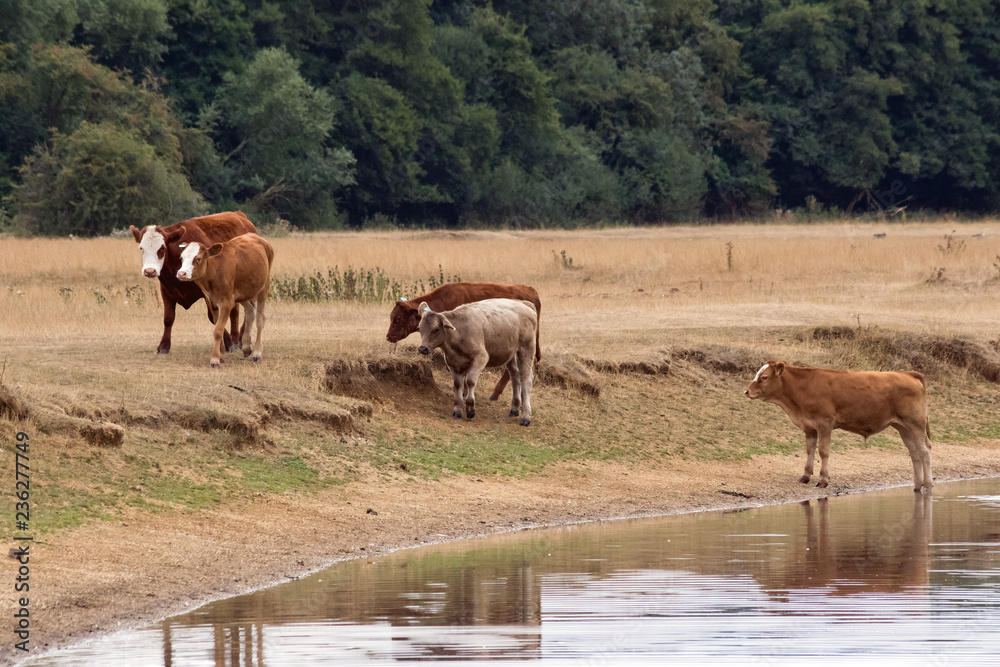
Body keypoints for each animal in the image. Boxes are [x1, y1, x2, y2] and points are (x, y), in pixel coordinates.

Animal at [130, 212, 258, 354]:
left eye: (162, 248)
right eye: (141, 248)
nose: (150, 271)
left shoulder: (209, 294)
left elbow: (214, 317)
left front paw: (228, 342)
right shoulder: (166, 291)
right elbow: (168, 318)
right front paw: (163, 345)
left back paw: (238, 339)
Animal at [175, 233, 274, 368]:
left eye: (198, 258)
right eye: (182, 258)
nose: (181, 273)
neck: (214, 272)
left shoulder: (226, 303)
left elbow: (218, 330)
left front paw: (215, 359)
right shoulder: (212, 303)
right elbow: (219, 327)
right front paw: (221, 355)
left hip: (263, 288)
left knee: (260, 319)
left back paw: (257, 352)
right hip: (243, 293)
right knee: (250, 312)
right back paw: (246, 346)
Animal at [744, 361, 932, 492]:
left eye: (764, 377)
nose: (747, 391)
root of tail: (908, 373)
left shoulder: (824, 424)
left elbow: (823, 452)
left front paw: (823, 480)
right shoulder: (809, 427)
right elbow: (810, 451)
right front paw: (805, 476)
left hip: (915, 425)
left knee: (924, 451)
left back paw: (928, 484)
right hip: (903, 427)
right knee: (914, 452)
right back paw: (917, 485)